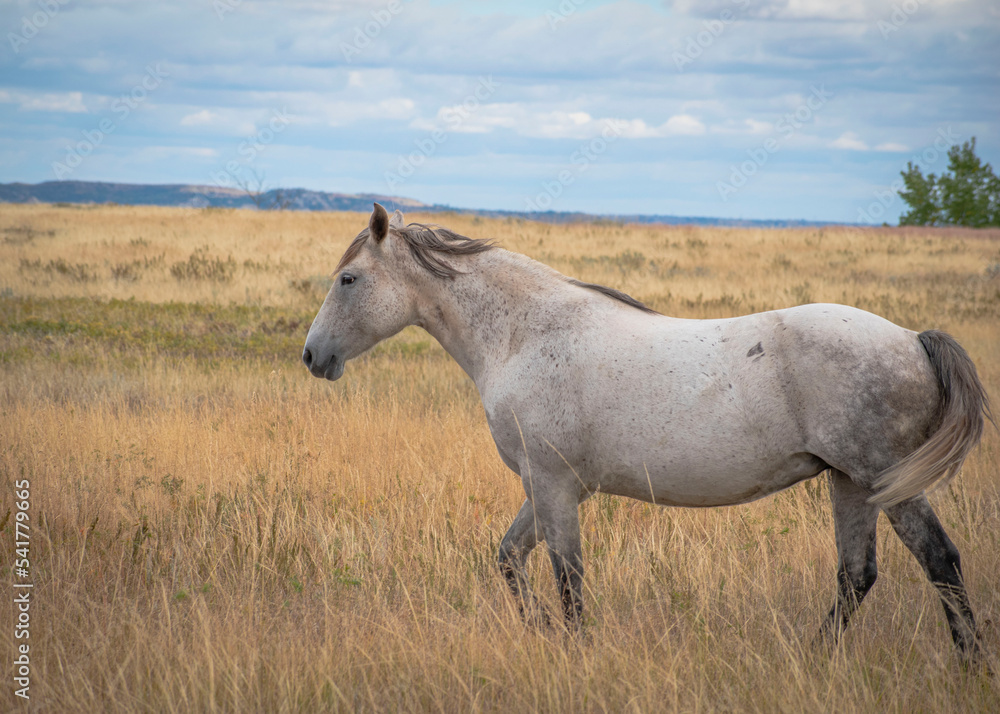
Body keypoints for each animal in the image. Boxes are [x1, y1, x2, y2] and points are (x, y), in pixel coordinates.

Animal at [300, 203, 988, 660]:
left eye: (349, 280)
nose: (312, 356)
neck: (524, 334)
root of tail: (912, 339)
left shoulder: (554, 487)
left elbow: (568, 578)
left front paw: (572, 649)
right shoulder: (545, 488)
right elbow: (509, 560)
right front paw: (543, 634)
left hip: (883, 481)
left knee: (939, 560)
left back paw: (971, 665)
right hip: (850, 483)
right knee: (856, 575)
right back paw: (815, 658)